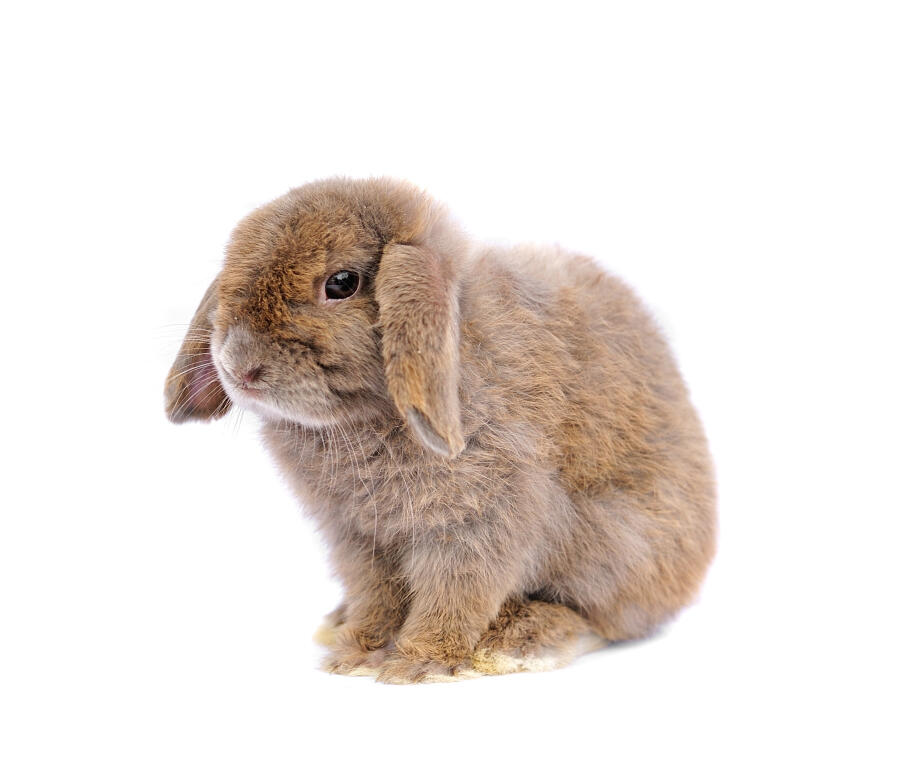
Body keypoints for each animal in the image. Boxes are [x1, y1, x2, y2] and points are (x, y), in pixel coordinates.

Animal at [164, 177, 716, 684]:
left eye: (341, 283)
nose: (238, 366)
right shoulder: (358, 537)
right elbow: (376, 596)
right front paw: (356, 651)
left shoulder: (481, 522)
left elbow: (455, 594)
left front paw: (417, 662)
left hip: (618, 546)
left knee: (597, 619)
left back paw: (515, 642)